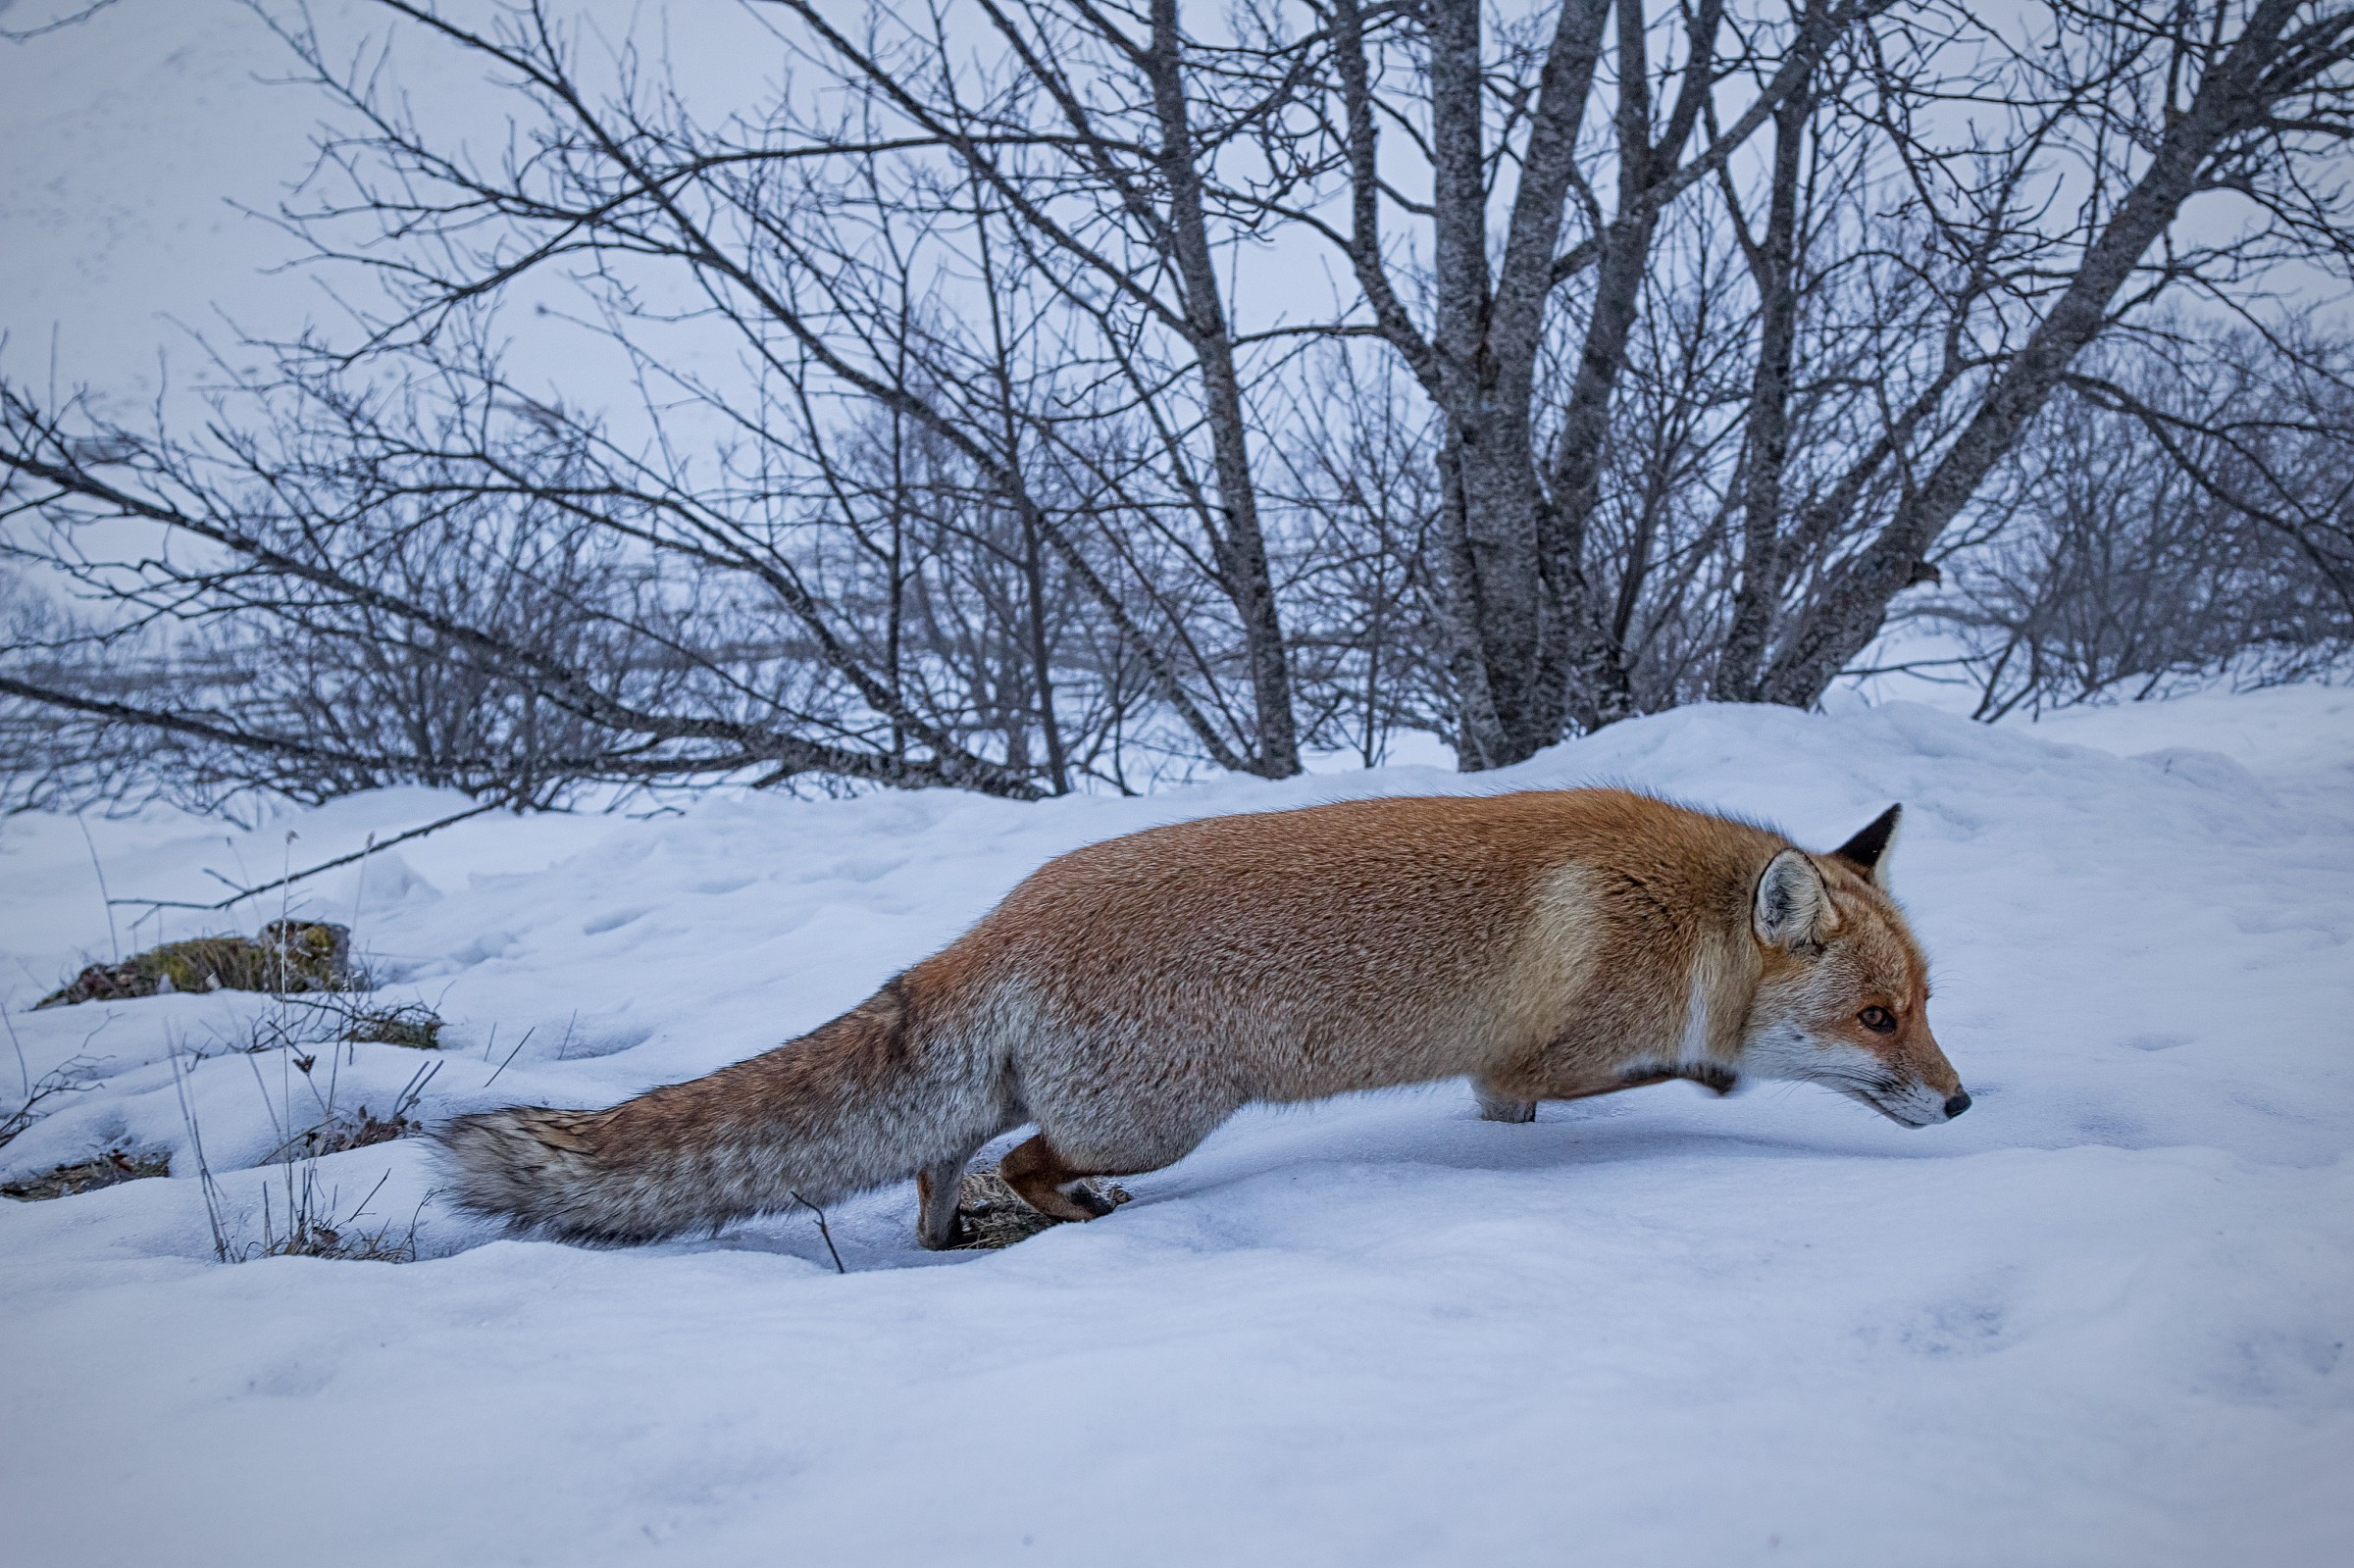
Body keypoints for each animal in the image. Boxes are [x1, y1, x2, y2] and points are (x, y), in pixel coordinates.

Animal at [441, 789, 1968, 1251]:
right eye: (1877, 1017)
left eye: (1925, 1007)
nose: (1963, 1102)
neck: (1683, 917)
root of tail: (999, 918)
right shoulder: (1529, 1068)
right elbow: (1671, 1078)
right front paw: (1718, 1089)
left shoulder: (1525, 1076)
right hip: (1161, 1120)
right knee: (1023, 1162)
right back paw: (1063, 1215)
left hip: (1054, 1100)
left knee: (943, 1154)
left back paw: (943, 1231)